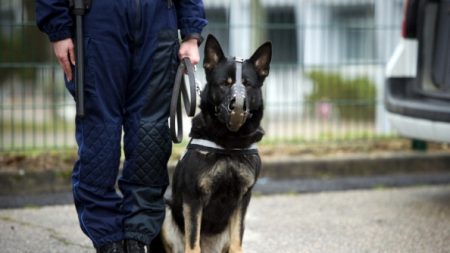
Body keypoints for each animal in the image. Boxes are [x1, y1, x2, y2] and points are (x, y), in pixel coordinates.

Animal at [151, 34, 272, 253]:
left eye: (248, 84)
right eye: (225, 83)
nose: (237, 105)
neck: (229, 144)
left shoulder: (242, 200)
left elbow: (237, 242)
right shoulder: (193, 199)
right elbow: (193, 243)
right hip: (165, 210)